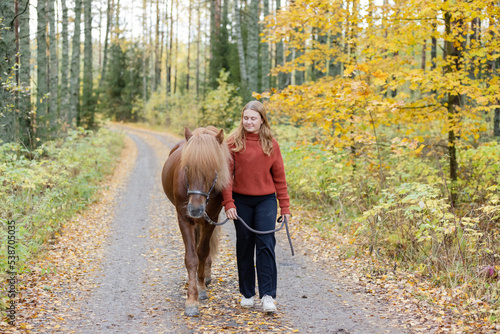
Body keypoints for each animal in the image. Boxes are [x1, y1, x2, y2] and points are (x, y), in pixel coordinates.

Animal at [161, 125, 231, 316]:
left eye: (212, 170)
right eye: (187, 168)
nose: (195, 209)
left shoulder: (211, 219)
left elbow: (203, 252)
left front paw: (200, 288)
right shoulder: (184, 219)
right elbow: (191, 258)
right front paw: (191, 300)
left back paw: (206, 276)